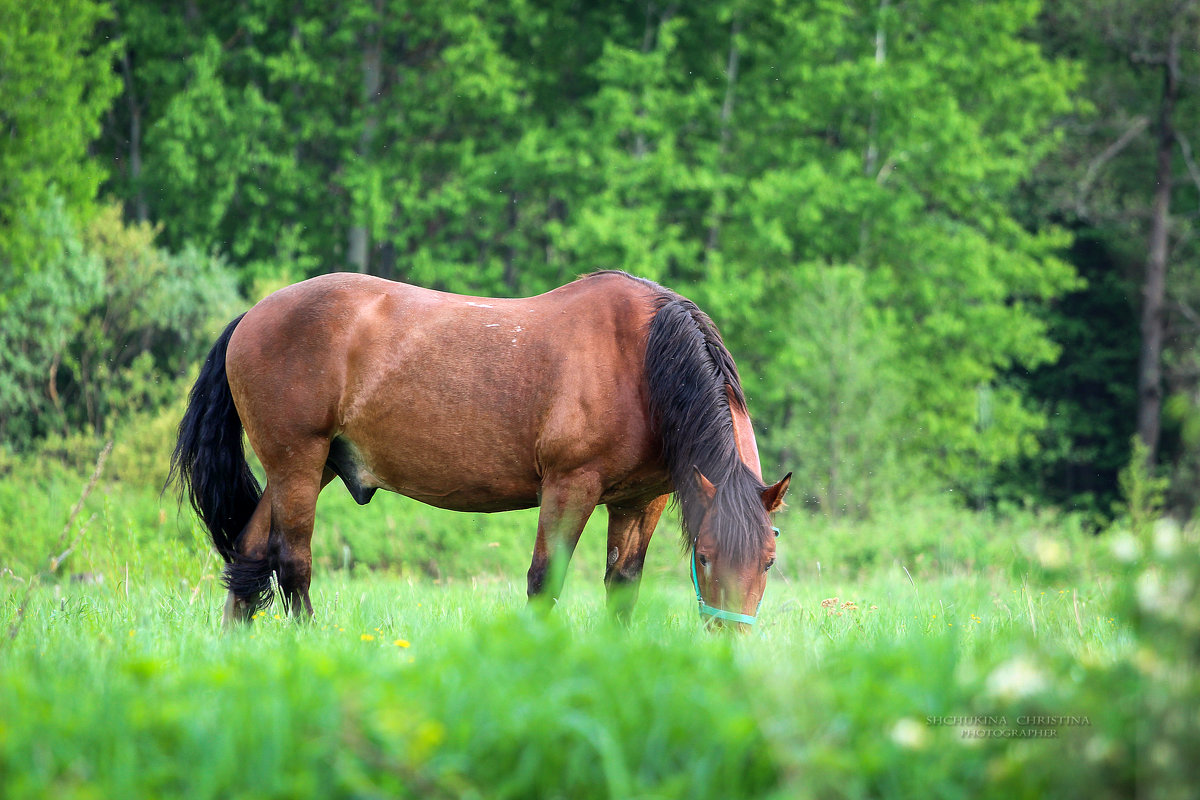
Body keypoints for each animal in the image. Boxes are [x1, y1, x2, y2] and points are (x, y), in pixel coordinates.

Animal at [166, 272, 787, 628]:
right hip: (297, 462)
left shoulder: (641, 502)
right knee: (291, 562)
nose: (730, 638)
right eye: (704, 558)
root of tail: (253, 315)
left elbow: (622, 588)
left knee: (249, 555)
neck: (643, 361)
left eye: (769, 561)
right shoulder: (570, 486)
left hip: (306, 468)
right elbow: (545, 580)